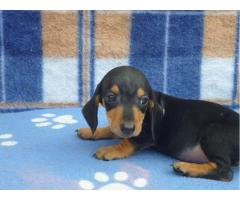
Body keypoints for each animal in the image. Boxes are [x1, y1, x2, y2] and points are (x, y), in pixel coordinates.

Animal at [76, 65, 239, 181]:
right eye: (110, 97)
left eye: (144, 100)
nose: (128, 128)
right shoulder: (122, 126)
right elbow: (111, 129)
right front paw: (89, 131)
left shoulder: (145, 135)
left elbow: (128, 142)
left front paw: (110, 150)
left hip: (213, 133)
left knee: (225, 172)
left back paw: (186, 167)